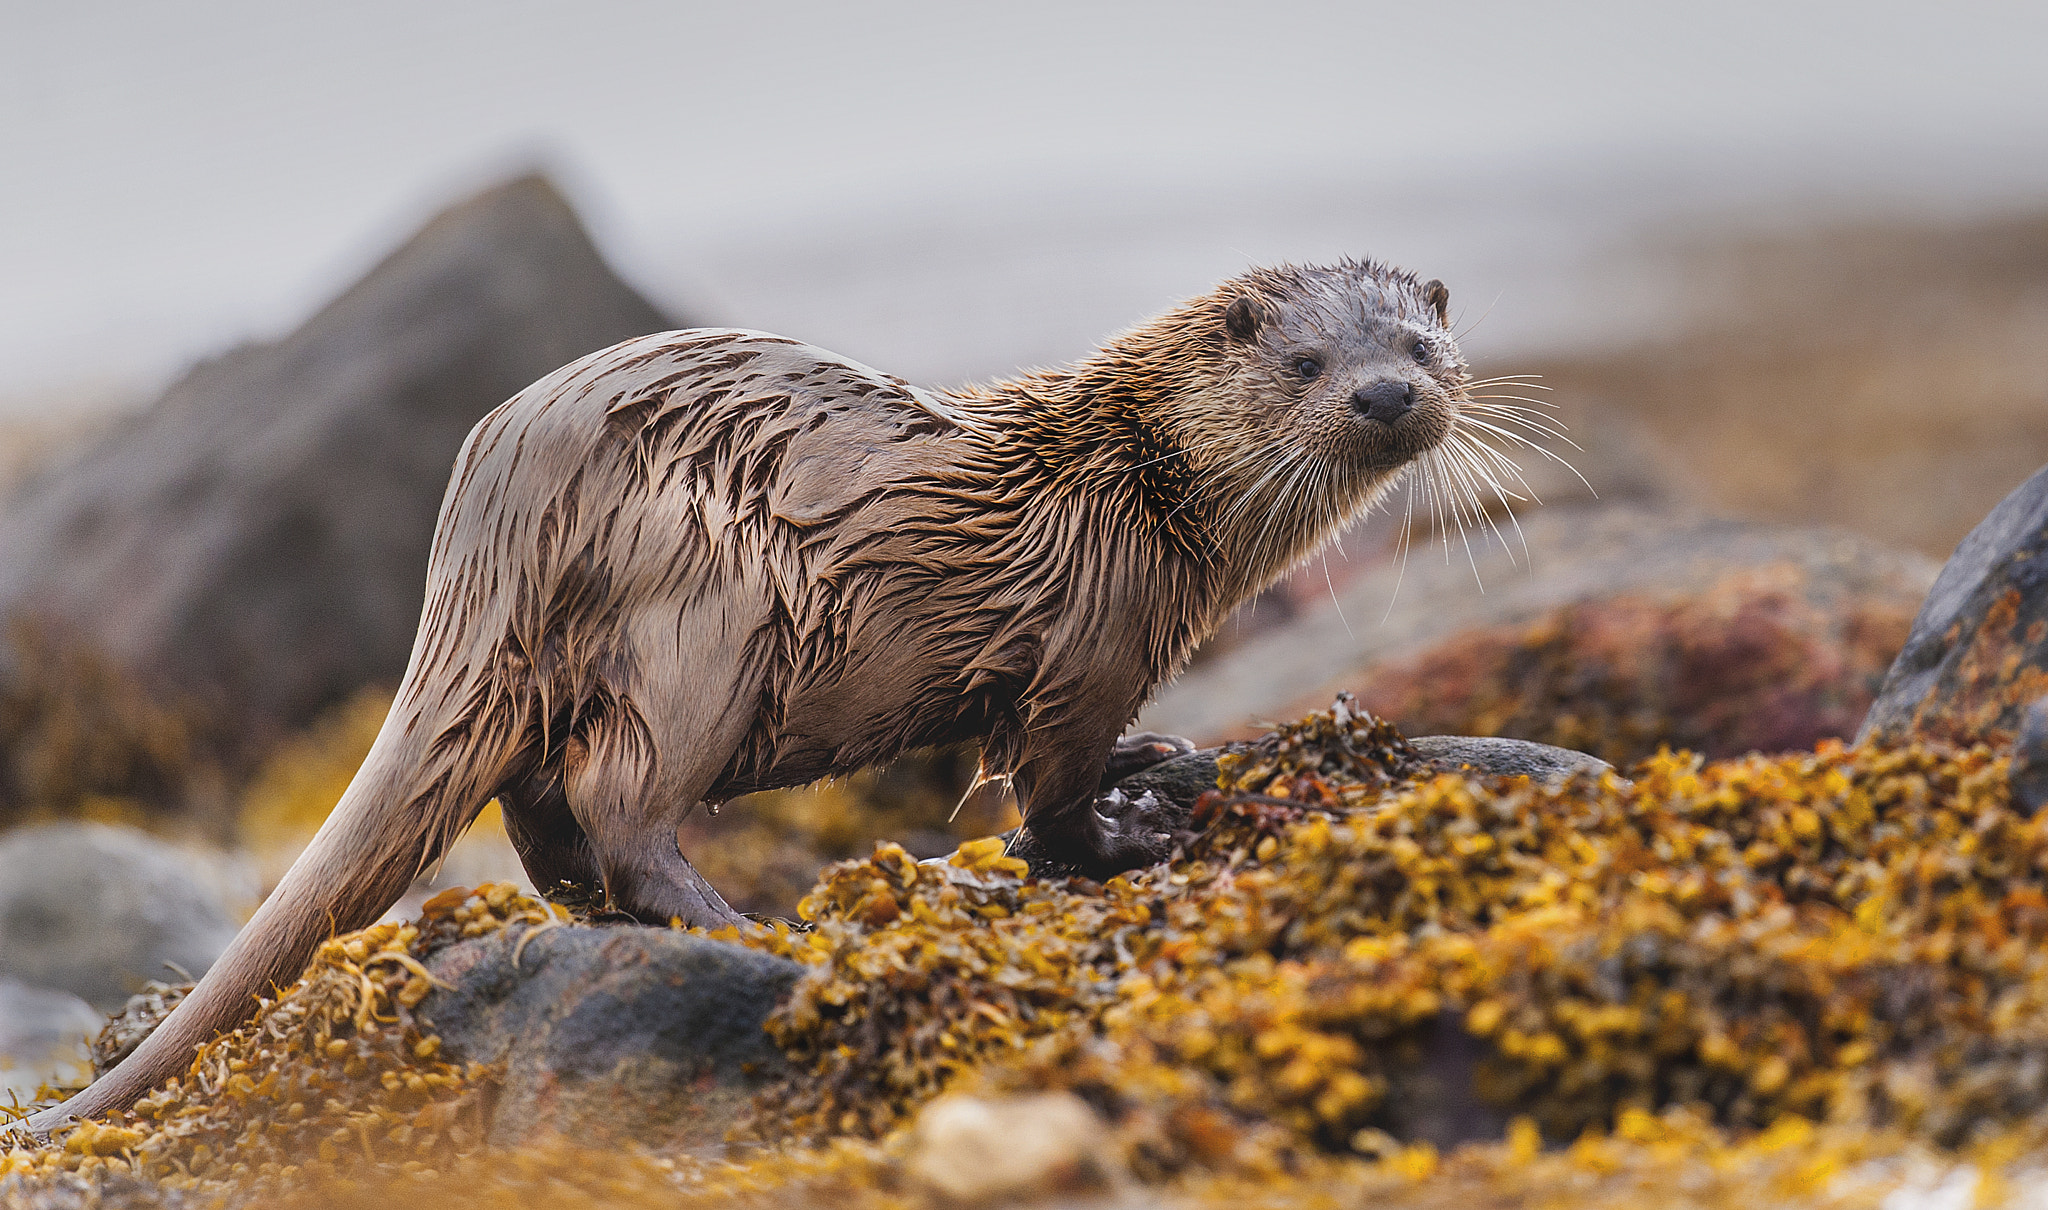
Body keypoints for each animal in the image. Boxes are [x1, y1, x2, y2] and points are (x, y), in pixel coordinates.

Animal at [28, 257, 1474, 1138]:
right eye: (1304, 364)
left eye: (1419, 342)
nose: (1386, 390)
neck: (1133, 486)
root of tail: (487, 514)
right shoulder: (1092, 638)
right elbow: (1051, 784)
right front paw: (1131, 829)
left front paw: (1159, 757)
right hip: (709, 627)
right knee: (615, 797)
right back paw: (740, 921)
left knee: (538, 806)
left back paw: (609, 910)